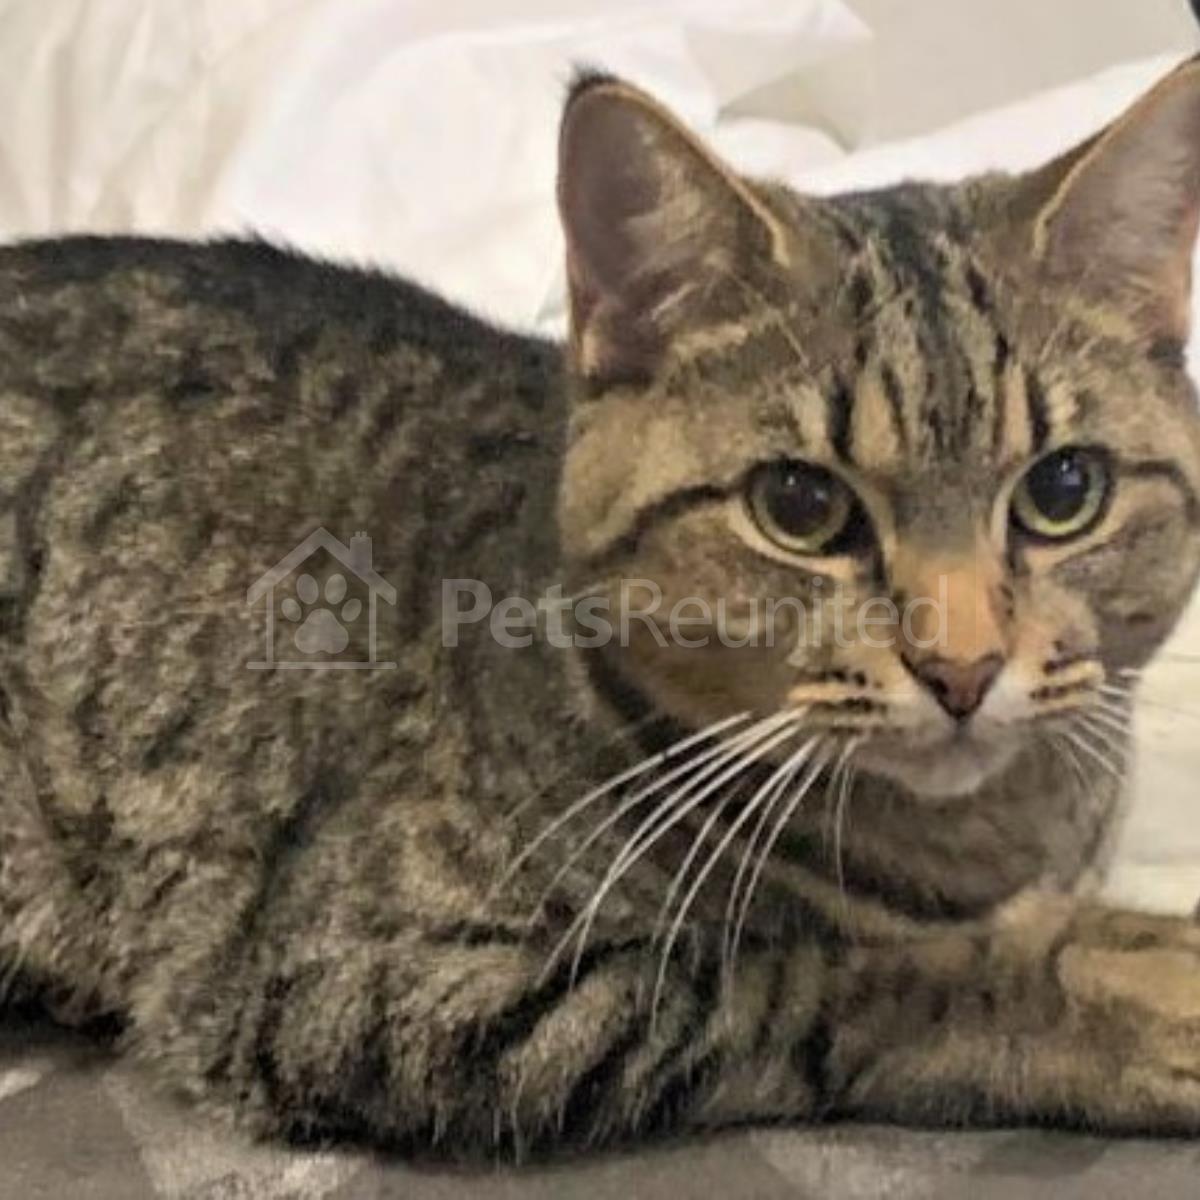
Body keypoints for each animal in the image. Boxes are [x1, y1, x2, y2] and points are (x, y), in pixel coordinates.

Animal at [2, 55, 1200, 1160]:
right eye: (801, 505)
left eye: (1063, 491)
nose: (963, 668)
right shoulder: (387, 982)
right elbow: (842, 974)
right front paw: (1109, 992)